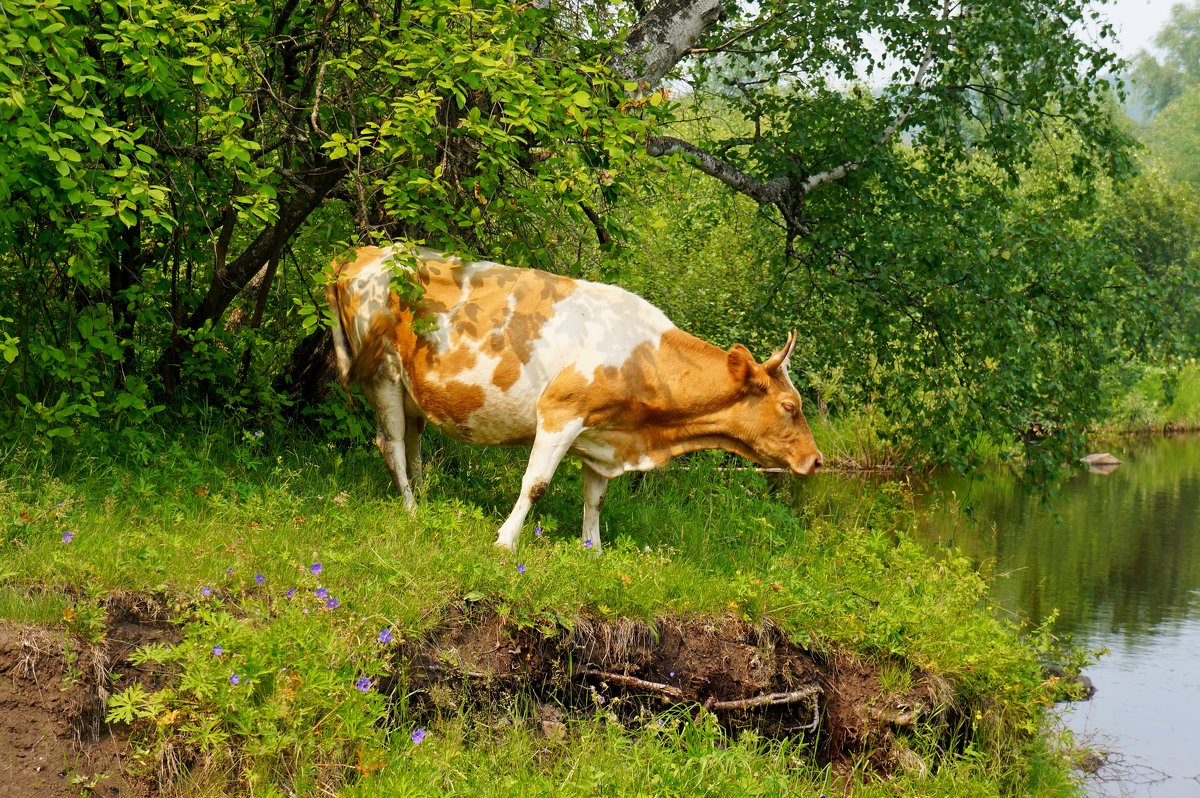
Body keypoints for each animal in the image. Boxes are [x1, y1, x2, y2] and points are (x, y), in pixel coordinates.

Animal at [324, 246, 820, 552]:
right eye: (789, 407)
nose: (816, 461)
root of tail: (363, 251)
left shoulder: (603, 434)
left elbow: (595, 498)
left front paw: (592, 550)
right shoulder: (560, 413)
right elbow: (536, 484)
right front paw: (506, 541)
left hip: (412, 387)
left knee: (413, 442)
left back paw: (425, 499)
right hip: (381, 374)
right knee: (390, 444)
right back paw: (410, 509)